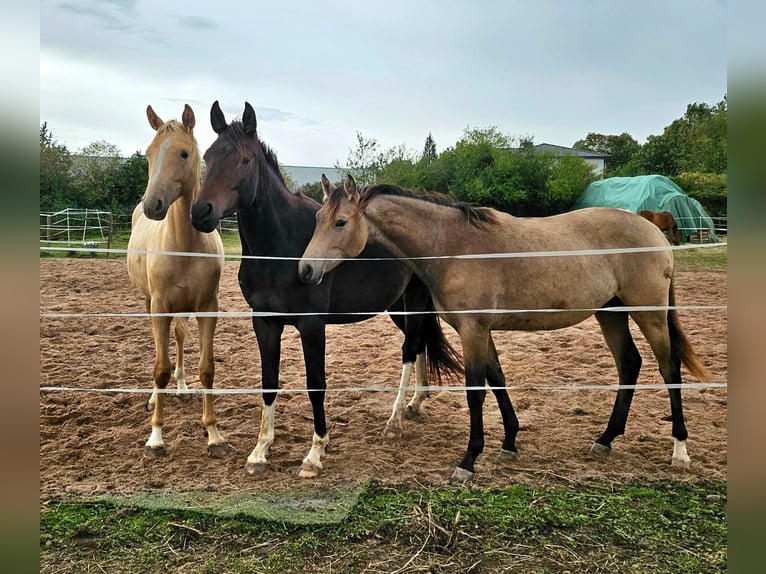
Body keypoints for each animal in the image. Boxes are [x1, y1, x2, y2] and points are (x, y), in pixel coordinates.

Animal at [126, 104, 228, 458]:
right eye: (149, 153)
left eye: (183, 153)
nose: (152, 205)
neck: (183, 244)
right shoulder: (159, 307)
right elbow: (160, 368)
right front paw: (155, 438)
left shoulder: (208, 308)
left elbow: (207, 368)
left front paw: (213, 434)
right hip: (150, 303)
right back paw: (153, 398)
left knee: (181, 338)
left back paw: (182, 388)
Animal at [189, 101, 462, 478]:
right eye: (209, 156)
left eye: (244, 160)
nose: (201, 212)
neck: (281, 248)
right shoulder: (265, 322)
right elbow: (269, 382)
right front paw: (260, 452)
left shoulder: (312, 324)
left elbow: (316, 384)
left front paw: (316, 453)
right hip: (397, 306)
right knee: (419, 343)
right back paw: (414, 404)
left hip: (415, 301)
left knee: (410, 349)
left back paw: (395, 420)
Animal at [298, 175, 712, 482]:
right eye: (316, 219)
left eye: (340, 222)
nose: (305, 271)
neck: (454, 245)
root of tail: (654, 232)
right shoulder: (481, 331)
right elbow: (497, 380)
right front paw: (510, 442)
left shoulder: (473, 330)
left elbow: (476, 392)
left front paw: (468, 460)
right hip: (610, 313)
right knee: (629, 364)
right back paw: (606, 439)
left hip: (650, 314)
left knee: (669, 370)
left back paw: (680, 450)